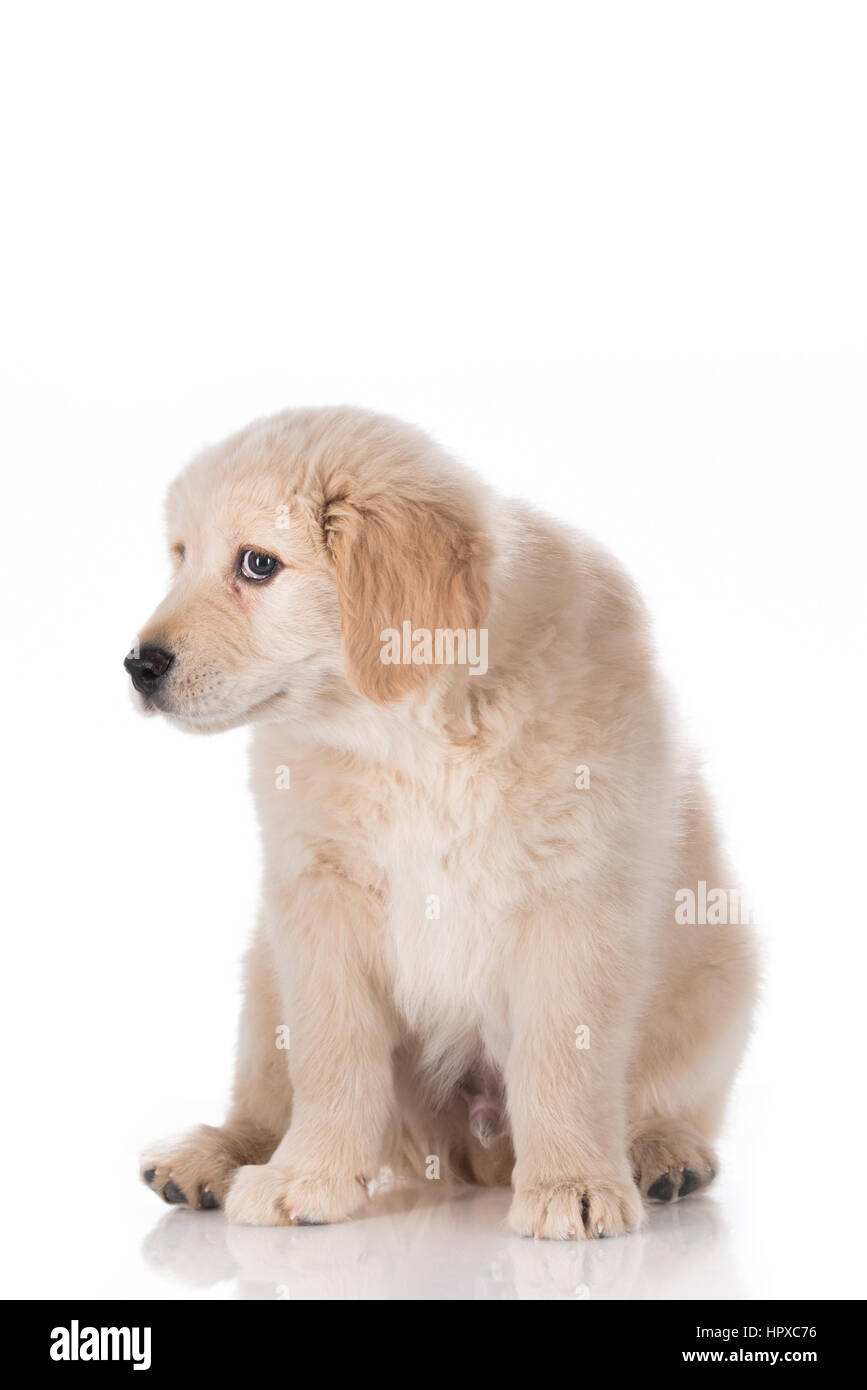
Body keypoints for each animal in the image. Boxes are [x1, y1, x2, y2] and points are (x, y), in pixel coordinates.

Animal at [128, 405, 755, 1239]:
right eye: (180, 557)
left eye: (258, 565)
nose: (138, 665)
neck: (408, 732)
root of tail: (478, 1151)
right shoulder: (318, 897)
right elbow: (330, 1053)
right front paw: (308, 1175)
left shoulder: (577, 896)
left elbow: (564, 1058)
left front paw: (573, 1183)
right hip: (263, 977)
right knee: (265, 1093)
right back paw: (213, 1155)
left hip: (720, 979)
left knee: (665, 1096)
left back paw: (661, 1152)